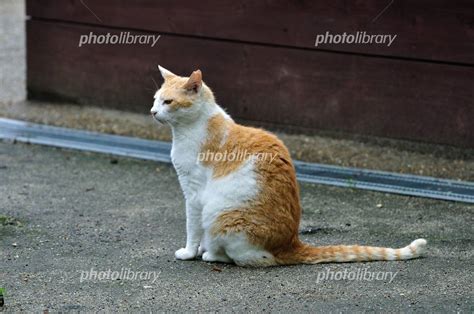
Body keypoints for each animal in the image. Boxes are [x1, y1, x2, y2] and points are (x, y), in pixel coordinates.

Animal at [150, 65, 428, 266]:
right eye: (155, 100)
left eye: (168, 102)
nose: (152, 112)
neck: (190, 128)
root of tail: (291, 244)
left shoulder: (194, 194)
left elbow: (192, 227)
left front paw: (189, 252)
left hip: (220, 215)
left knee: (252, 259)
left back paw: (211, 254)